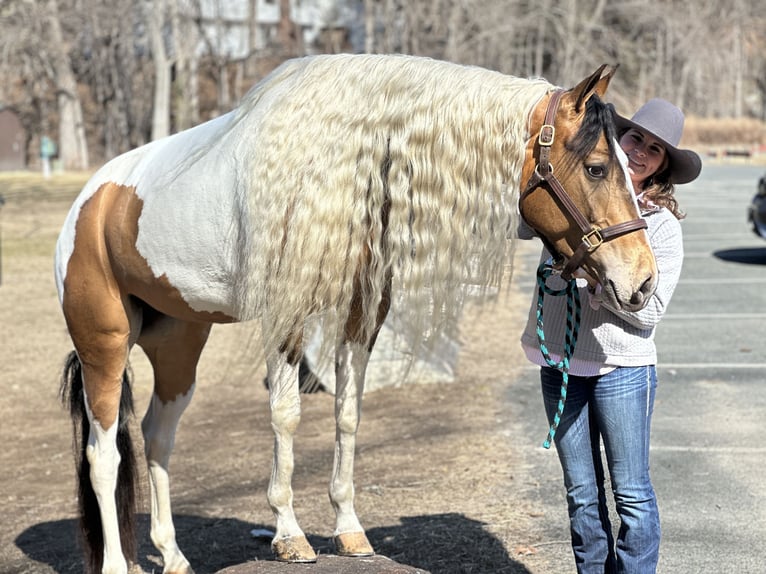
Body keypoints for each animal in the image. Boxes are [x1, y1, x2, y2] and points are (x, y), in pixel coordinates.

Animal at [55, 51, 660, 572]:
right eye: (598, 167)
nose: (643, 280)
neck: (336, 165)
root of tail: (92, 200)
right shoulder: (286, 316)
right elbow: (287, 416)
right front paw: (289, 534)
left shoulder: (361, 315)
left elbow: (348, 415)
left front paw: (348, 528)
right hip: (105, 345)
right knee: (104, 453)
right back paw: (117, 564)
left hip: (179, 345)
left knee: (156, 438)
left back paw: (173, 556)